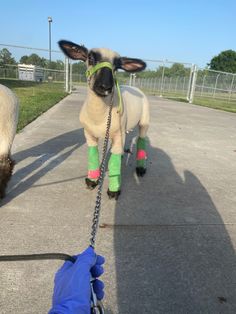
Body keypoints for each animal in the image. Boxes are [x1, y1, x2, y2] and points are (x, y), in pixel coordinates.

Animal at [58, 40, 149, 200]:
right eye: (90, 58)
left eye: (117, 66)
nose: (105, 86)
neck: (99, 117)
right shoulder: (88, 134)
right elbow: (93, 155)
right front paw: (92, 181)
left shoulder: (118, 134)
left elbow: (113, 160)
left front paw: (114, 190)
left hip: (144, 120)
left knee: (141, 140)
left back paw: (140, 169)